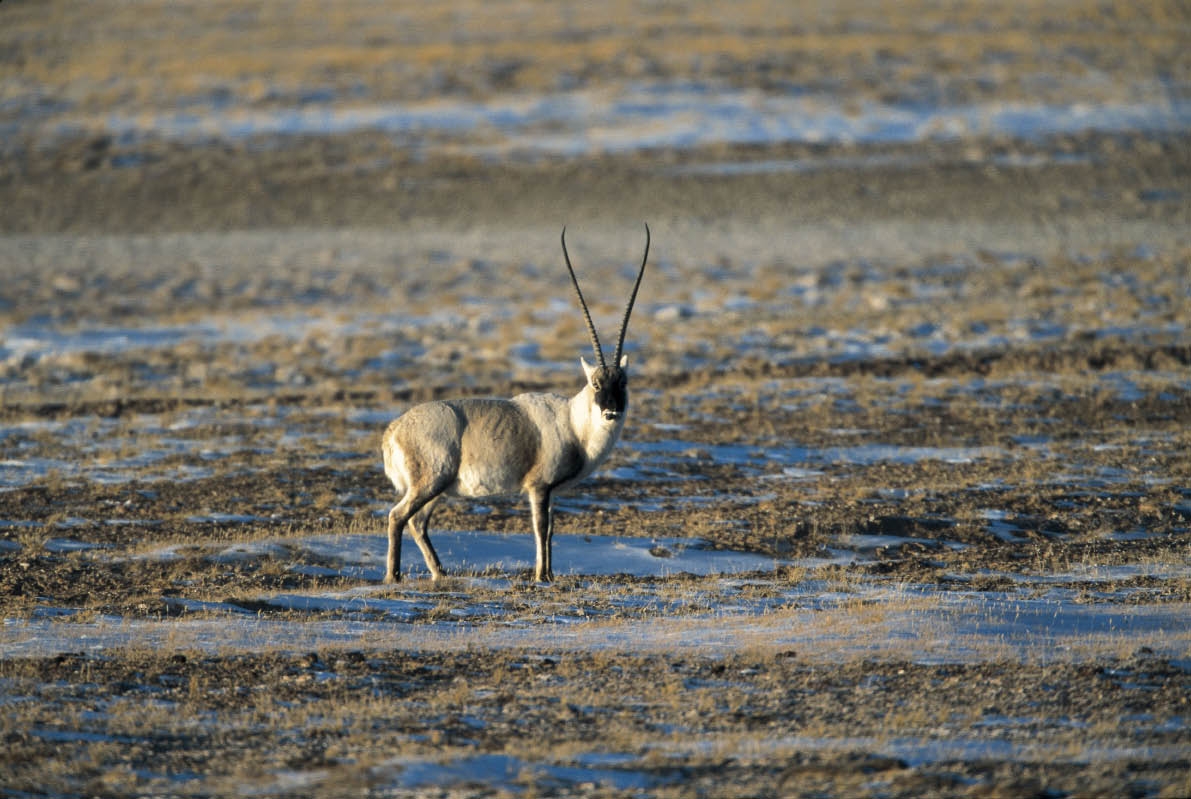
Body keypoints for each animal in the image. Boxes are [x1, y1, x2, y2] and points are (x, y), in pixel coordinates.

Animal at [378, 225, 652, 581]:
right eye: (595, 383)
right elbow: (540, 528)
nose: (611, 411)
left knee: (418, 522)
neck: (574, 422)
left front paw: (549, 575)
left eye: (624, 383)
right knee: (398, 516)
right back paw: (393, 576)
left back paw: (440, 573)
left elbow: (551, 531)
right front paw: (541, 576)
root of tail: (394, 430)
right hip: (430, 482)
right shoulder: (538, 487)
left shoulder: (552, 492)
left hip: (437, 490)